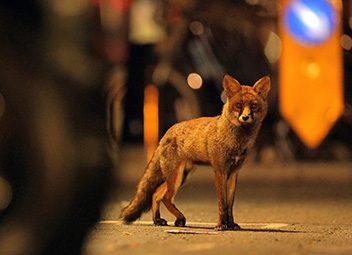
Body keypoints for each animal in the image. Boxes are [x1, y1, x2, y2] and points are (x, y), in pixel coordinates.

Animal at [119, 72, 270, 230]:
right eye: (239, 105)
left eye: (254, 106)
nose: (245, 117)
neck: (236, 141)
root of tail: (166, 133)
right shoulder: (220, 171)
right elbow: (222, 204)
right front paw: (221, 225)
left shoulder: (234, 173)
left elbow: (230, 205)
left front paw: (231, 224)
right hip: (176, 177)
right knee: (165, 197)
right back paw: (179, 219)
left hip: (181, 177)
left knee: (156, 194)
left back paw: (158, 220)